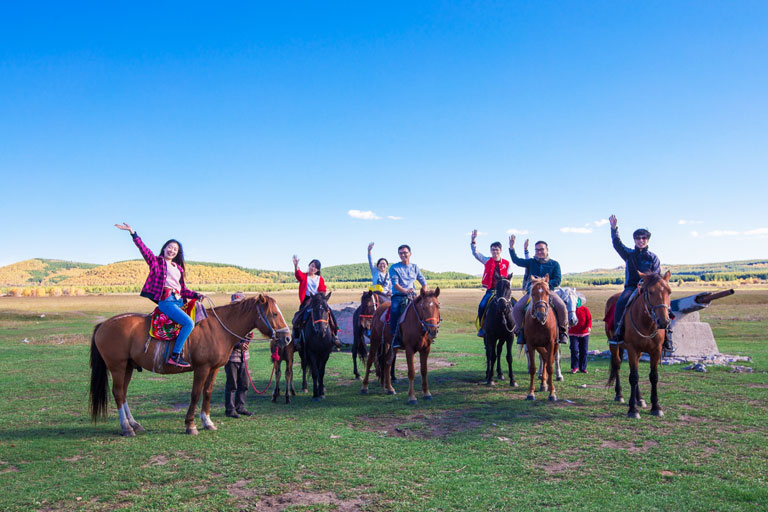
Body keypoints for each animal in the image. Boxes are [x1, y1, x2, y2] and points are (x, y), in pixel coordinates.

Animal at [88, 294, 292, 434]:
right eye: (274, 313)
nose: (288, 338)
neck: (218, 329)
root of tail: (103, 325)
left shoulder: (213, 368)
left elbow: (207, 393)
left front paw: (207, 422)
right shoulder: (201, 368)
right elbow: (195, 394)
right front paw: (190, 425)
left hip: (128, 367)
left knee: (123, 394)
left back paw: (134, 424)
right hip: (117, 367)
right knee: (118, 393)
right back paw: (126, 428)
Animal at [520, 274, 560, 402]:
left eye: (547, 293)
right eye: (532, 293)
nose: (541, 314)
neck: (540, 323)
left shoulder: (551, 343)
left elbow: (550, 367)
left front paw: (552, 394)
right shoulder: (530, 344)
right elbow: (533, 368)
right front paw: (531, 393)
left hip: (554, 345)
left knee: (548, 360)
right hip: (539, 345)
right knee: (544, 358)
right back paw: (543, 384)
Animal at [608, 270, 672, 418]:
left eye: (669, 292)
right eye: (651, 292)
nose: (663, 322)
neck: (647, 323)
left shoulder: (656, 350)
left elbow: (653, 377)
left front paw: (656, 407)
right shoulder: (632, 349)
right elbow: (633, 377)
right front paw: (633, 410)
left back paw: (640, 399)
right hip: (614, 346)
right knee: (617, 364)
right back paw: (619, 394)